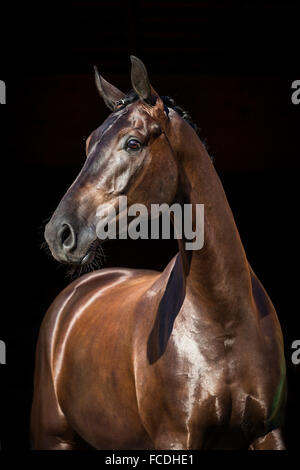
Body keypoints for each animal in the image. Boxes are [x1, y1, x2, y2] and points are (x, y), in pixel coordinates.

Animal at [30, 57, 286, 450]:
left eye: (133, 143)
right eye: (88, 144)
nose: (59, 233)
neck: (224, 319)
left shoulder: (268, 432)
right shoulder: (175, 439)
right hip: (51, 436)